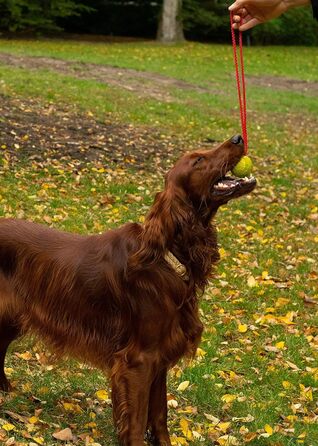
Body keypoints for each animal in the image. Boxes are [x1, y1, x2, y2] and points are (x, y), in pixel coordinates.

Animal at [0, 135, 255, 442]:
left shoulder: (161, 355)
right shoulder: (138, 361)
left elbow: (159, 414)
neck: (166, 256)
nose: (238, 138)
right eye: (198, 160)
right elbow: (136, 419)